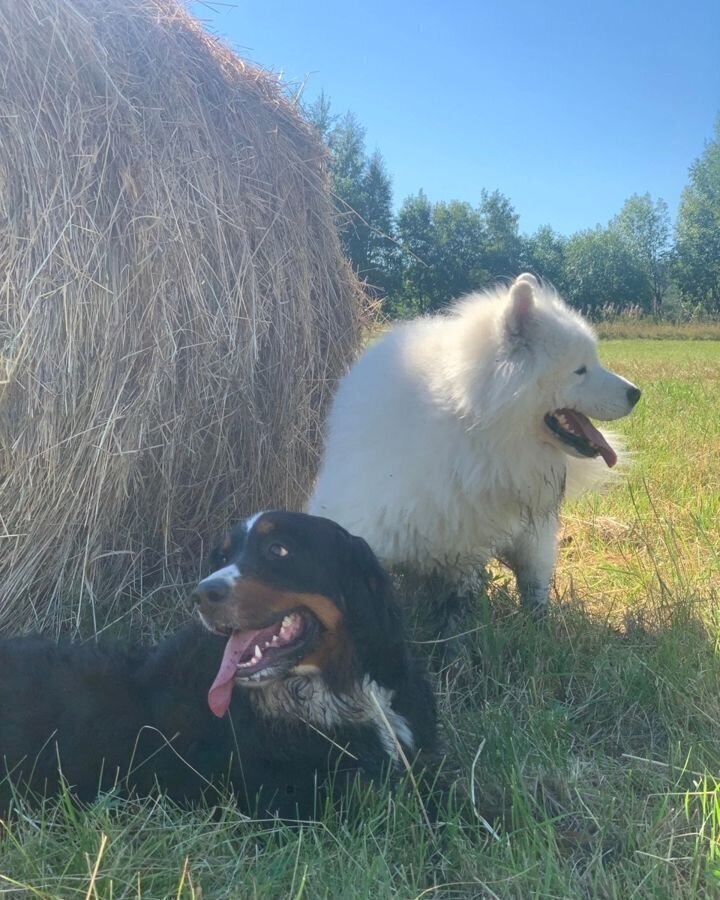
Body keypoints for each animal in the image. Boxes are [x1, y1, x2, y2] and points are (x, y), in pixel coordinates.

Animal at [310, 272, 640, 612]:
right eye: (580, 370)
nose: (636, 393)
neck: (472, 426)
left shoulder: (464, 556)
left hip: (530, 537)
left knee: (534, 580)